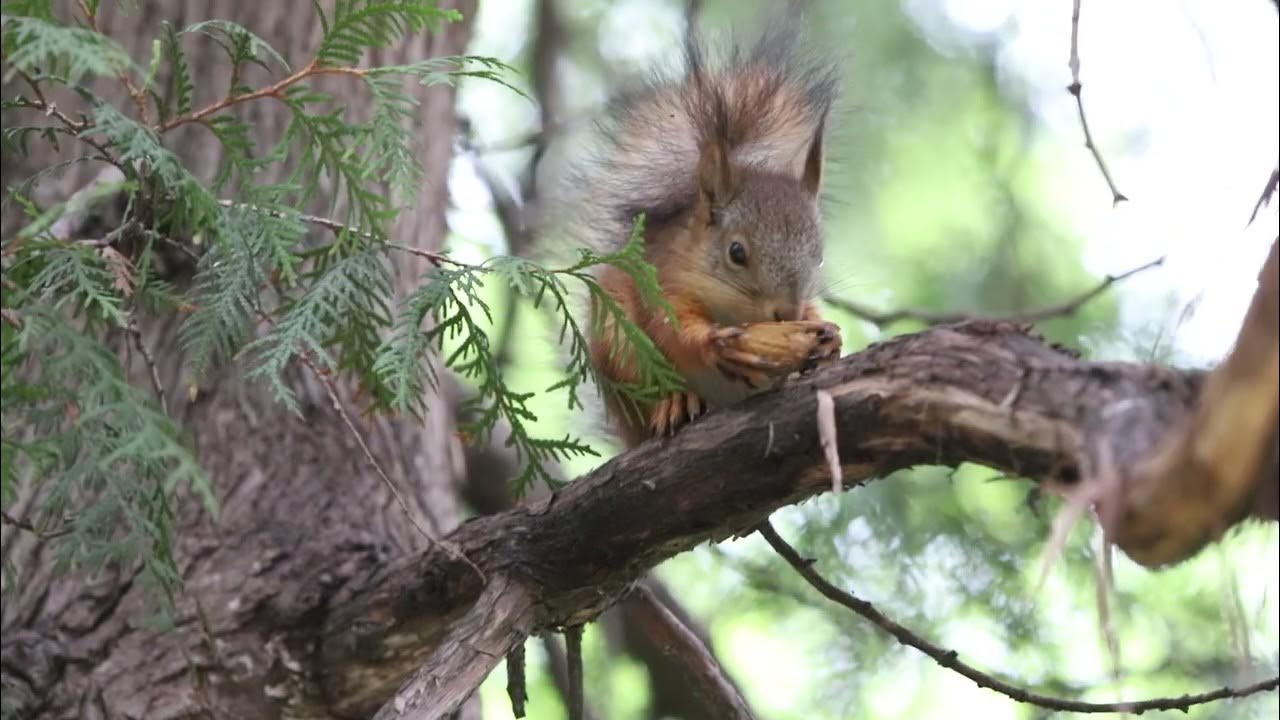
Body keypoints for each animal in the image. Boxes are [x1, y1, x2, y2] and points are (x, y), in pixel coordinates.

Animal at [550, 25, 839, 445]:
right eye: (736, 253)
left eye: (819, 256)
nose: (787, 314)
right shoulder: (665, 283)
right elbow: (673, 331)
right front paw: (716, 345)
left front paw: (830, 338)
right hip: (619, 342)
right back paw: (675, 403)